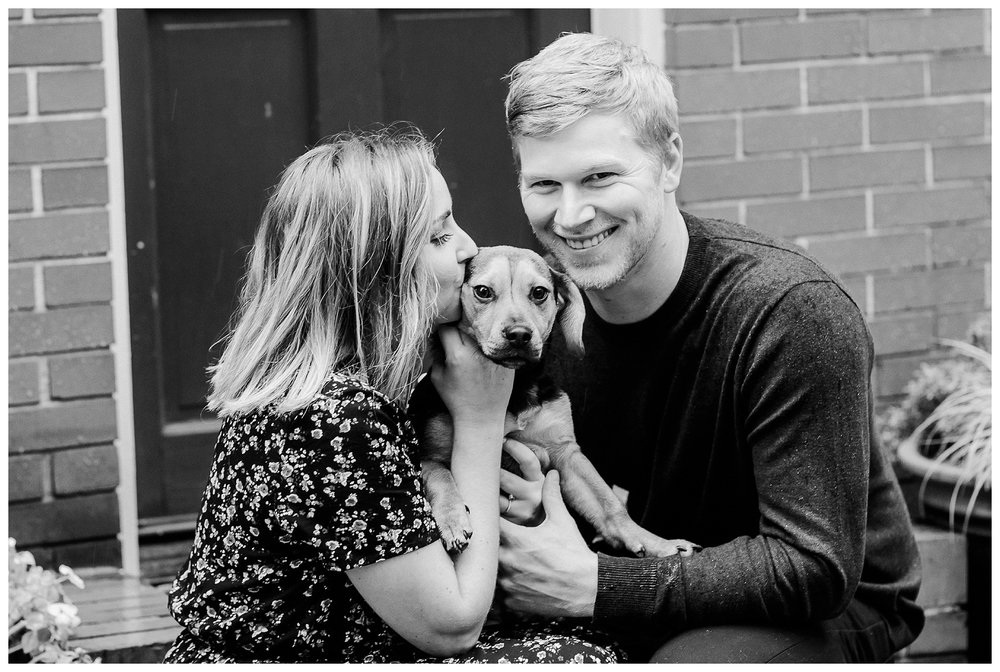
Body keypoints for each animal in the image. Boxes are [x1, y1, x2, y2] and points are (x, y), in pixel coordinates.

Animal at [406, 244, 696, 560]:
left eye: (539, 293)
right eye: (483, 291)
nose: (519, 335)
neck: (516, 385)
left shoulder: (565, 453)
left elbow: (608, 504)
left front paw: (655, 542)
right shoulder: (428, 455)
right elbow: (441, 478)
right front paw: (452, 520)